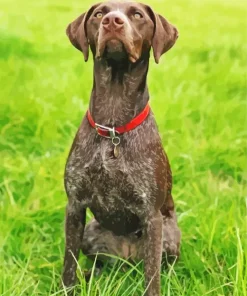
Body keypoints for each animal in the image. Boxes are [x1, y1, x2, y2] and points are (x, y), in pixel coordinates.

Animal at [62, 1, 180, 294]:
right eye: (99, 14)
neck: (114, 128)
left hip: (170, 234)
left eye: (137, 14)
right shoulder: (75, 206)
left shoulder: (152, 217)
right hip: (91, 232)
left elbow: (152, 278)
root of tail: (127, 260)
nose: (113, 22)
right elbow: (68, 263)